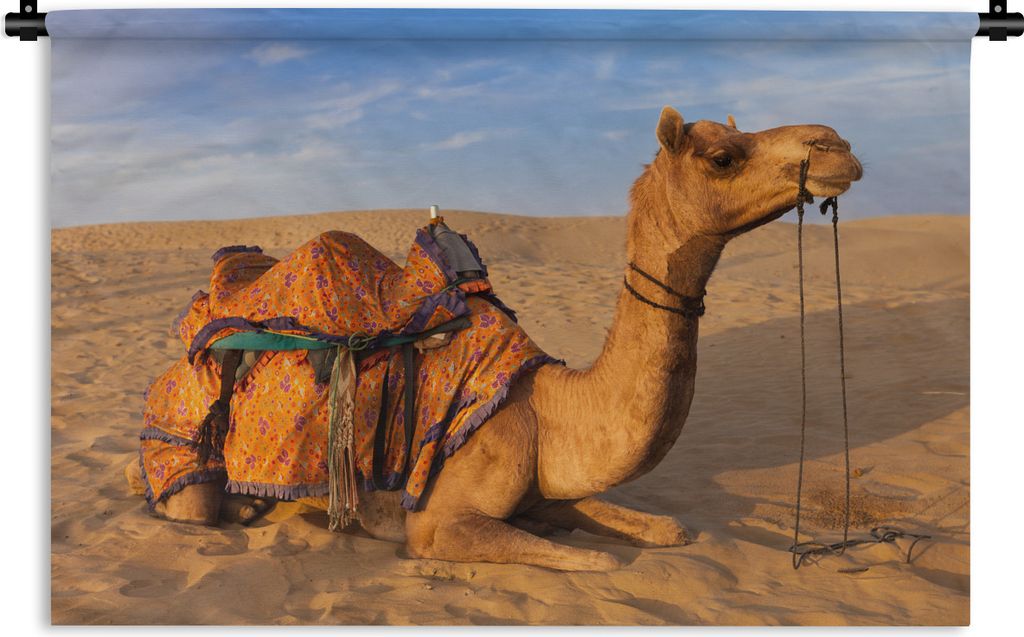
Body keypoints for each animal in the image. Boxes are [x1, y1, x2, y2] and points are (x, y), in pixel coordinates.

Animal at [127, 106, 862, 571]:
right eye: (722, 156)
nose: (837, 146)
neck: (549, 409)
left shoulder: (551, 484)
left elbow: (667, 527)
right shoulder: (438, 522)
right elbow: (598, 561)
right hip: (183, 446)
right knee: (181, 497)